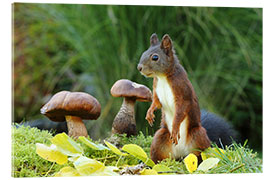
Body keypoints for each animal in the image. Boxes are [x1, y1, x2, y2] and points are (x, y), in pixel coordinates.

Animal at [137, 33, 211, 163]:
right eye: (143, 53)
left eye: (155, 57)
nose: (139, 67)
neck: (162, 77)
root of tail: (180, 154)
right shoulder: (156, 89)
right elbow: (156, 102)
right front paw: (149, 113)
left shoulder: (182, 91)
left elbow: (181, 110)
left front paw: (175, 127)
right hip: (159, 138)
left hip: (198, 135)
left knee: (200, 153)